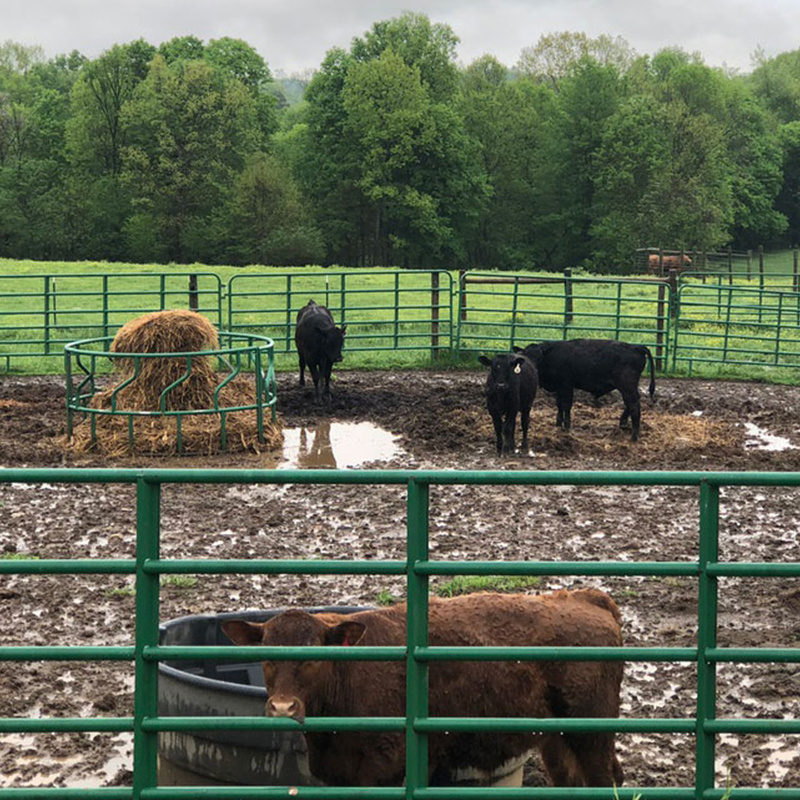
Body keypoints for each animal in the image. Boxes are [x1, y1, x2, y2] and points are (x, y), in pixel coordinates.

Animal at [223, 588, 624, 788]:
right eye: (266, 656)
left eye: (313, 657)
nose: (283, 707)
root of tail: (586, 599)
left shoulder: (385, 770)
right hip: (559, 742)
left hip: (591, 737)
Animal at [520, 334, 656, 440]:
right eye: (526, 357)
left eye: (539, 358)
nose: (533, 369)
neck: (552, 356)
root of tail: (635, 347)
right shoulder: (559, 388)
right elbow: (559, 405)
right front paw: (558, 424)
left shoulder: (567, 386)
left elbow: (566, 406)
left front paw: (567, 427)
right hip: (628, 387)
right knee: (633, 402)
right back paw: (623, 424)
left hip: (626, 386)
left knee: (633, 404)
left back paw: (633, 436)